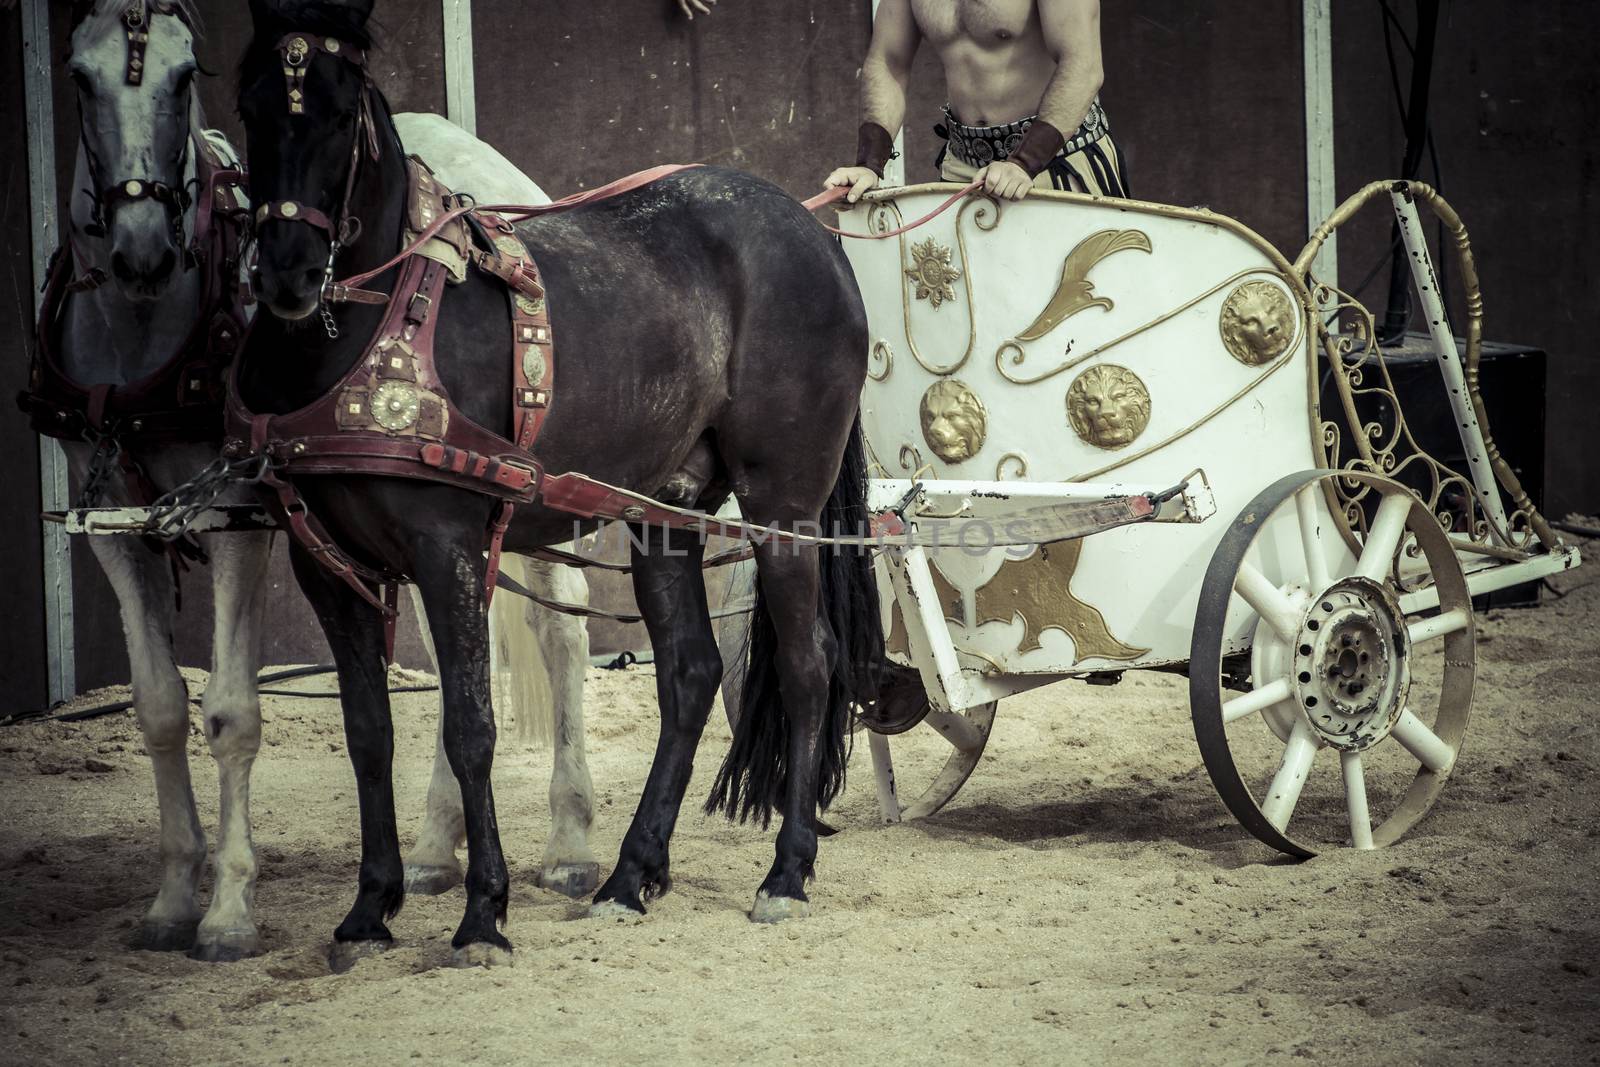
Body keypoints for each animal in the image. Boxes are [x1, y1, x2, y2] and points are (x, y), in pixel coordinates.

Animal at [51, 2, 601, 966]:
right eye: (78, 77)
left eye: (185, 76)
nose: (142, 250)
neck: (147, 335)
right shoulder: (114, 522)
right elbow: (158, 707)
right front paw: (173, 897)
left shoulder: (237, 516)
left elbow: (232, 711)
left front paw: (229, 910)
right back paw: (436, 849)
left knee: (560, 632)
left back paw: (569, 843)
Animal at [235, 0, 883, 966]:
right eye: (248, 104)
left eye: (344, 110)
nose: (286, 270)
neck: (363, 331)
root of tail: (814, 236)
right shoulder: (329, 566)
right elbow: (368, 733)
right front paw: (369, 907)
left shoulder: (449, 545)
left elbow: (471, 726)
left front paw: (482, 913)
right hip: (665, 513)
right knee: (689, 673)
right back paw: (629, 874)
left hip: (785, 509)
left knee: (809, 665)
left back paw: (785, 871)